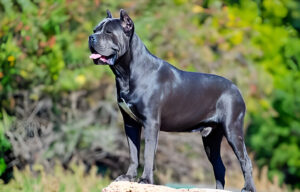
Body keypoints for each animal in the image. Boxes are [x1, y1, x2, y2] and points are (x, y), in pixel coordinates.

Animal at [88, 9, 256, 192]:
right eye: (95, 30)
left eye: (108, 32)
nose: (91, 37)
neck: (125, 72)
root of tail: (236, 88)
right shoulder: (130, 123)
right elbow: (133, 152)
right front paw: (128, 177)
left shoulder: (151, 123)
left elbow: (148, 153)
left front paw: (145, 180)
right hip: (211, 138)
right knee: (219, 166)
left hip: (233, 130)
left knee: (245, 160)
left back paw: (248, 188)